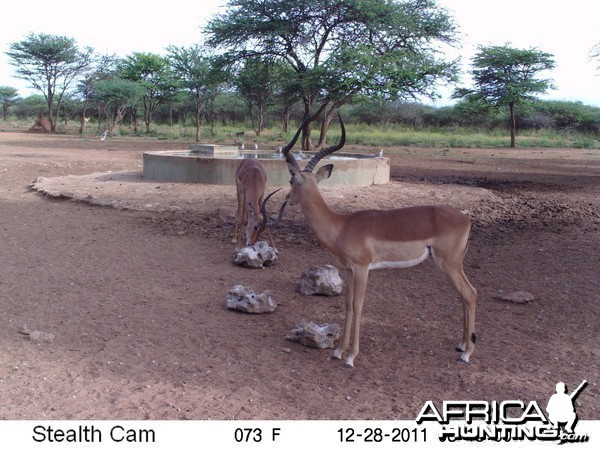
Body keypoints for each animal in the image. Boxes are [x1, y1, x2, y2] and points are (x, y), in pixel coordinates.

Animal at [278, 118, 478, 368]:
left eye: (291, 180)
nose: (288, 200)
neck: (342, 226)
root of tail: (466, 218)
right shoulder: (348, 269)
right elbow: (347, 305)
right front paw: (338, 351)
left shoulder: (362, 268)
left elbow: (358, 305)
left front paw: (351, 357)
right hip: (451, 265)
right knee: (465, 295)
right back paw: (461, 345)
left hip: (449, 264)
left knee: (470, 294)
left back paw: (466, 353)